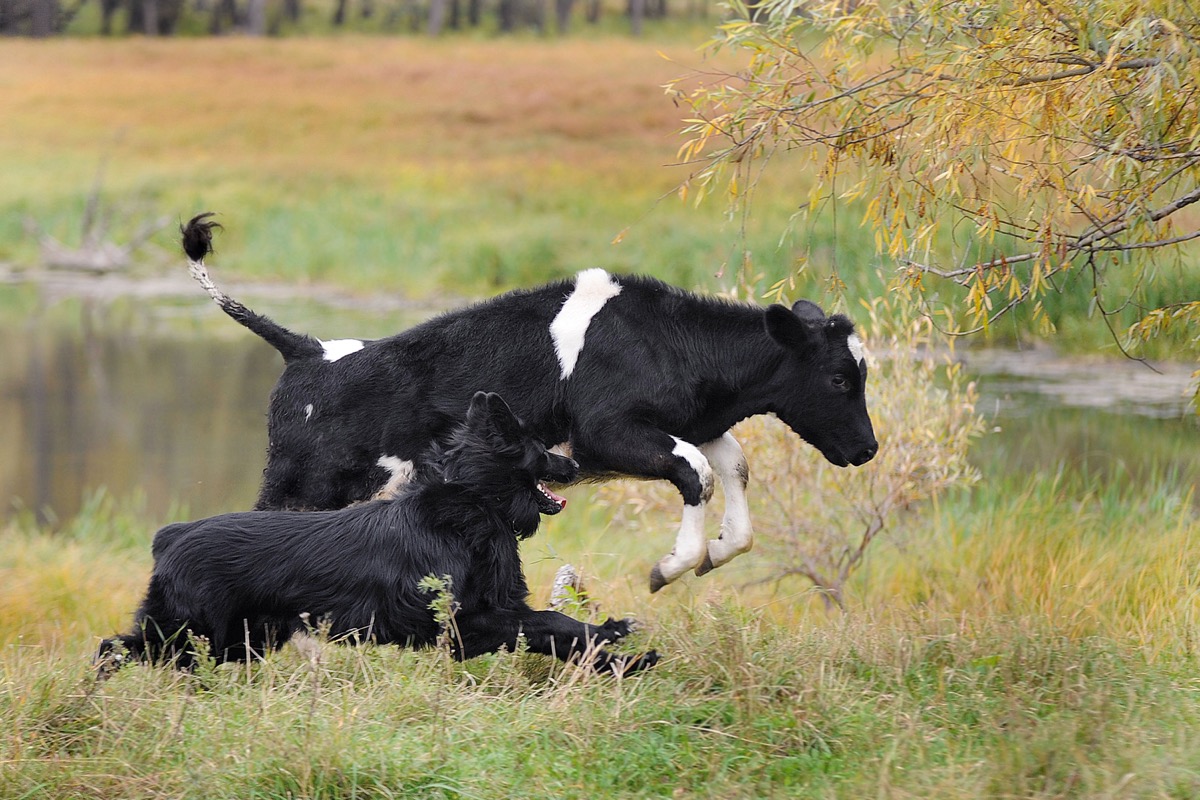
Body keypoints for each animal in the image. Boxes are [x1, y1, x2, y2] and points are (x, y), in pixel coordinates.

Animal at [182, 213, 877, 592]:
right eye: (840, 380)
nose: (869, 448)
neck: (665, 338)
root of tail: (308, 348)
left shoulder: (692, 424)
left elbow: (731, 466)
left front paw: (719, 551)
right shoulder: (608, 434)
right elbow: (697, 472)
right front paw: (671, 565)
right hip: (305, 485)